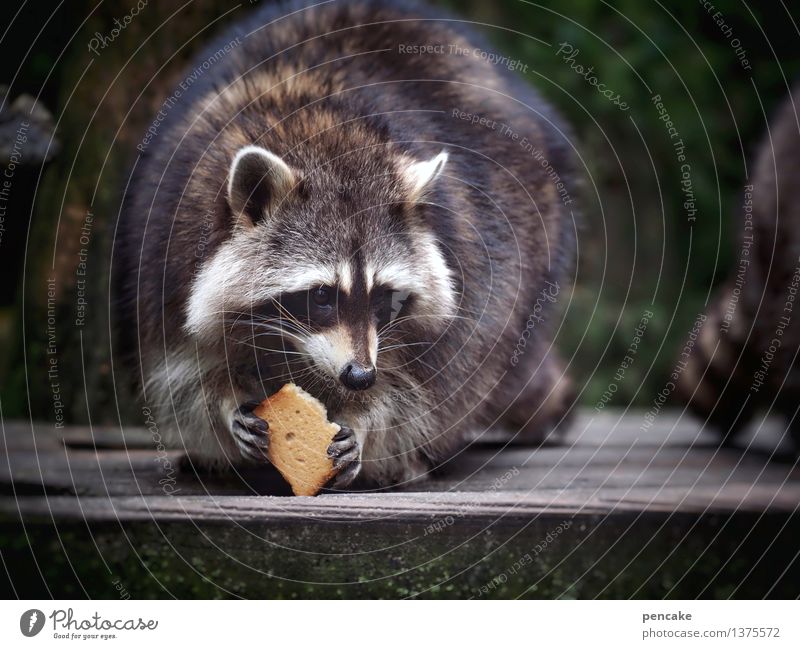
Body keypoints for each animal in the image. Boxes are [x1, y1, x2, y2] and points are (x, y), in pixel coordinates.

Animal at [112, 0, 576, 486]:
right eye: (320, 296)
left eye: (386, 296)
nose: (359, 377)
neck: (317, 135)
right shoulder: (165, 247)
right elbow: (181, 372)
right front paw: (223, 404)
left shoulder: (471, 263)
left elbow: (429, 383)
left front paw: (367, 420)